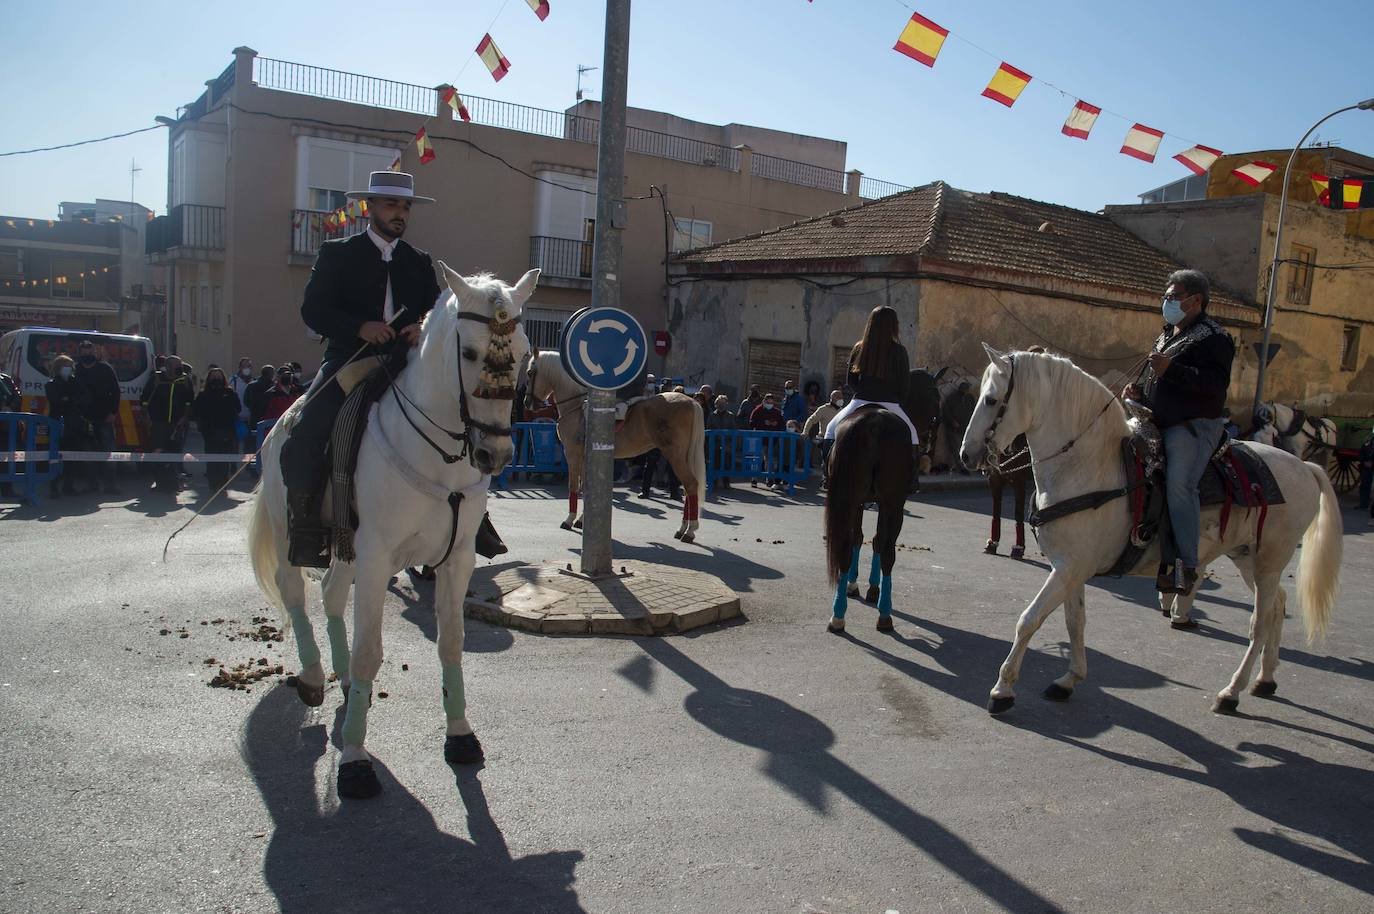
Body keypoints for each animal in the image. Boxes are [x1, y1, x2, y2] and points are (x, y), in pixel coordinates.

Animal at [248, 263, 535, 797]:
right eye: (469, 352)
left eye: (526, 352)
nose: (496, 454)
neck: (437, 454)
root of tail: (280, 422)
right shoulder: (379, 559)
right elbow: (368, 654)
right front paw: (355, 760)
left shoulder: (455, 559)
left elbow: (450, 641)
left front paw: (460, 735)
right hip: (289, 530)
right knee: (294, 591)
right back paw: (314, 676)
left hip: (348, 550)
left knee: (331, 593)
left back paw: (341, 681)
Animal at [516, 350, 703, 541]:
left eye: (530, 373)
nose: (527, 403)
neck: (576, 407)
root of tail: (691, 401)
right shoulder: (585, 457)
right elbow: (586, 488)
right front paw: (582, 520)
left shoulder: (573, 454)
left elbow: (574, 486)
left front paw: (569, 520)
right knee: (688, 488)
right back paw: (683, 529)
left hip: (675, 455)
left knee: (690, 485)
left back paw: (689, 531)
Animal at [824, 404, 912, 626]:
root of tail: (875, 422)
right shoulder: (881, 504)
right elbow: (875, 540)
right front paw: (870, 588)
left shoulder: (863, 502)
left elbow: (863, 538)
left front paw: (858, 585)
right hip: (893, 504)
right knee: (887, 551)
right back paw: (882, 613)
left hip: (853, 500)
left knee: (847, 549)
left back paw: (839, 615)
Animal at [956, 346, 1341, 714]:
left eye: (990, 399)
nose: (966, 455)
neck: (1088, 466)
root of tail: (1305, 467)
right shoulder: (1071, 569)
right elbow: (1075, 622)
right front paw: (1069, 679)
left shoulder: (1068, 569)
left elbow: (1029, 620)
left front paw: (1003, 690)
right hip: (1249, 559)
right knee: (1277, 606)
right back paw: (1265, 678)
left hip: (1268, 562)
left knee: (1259, 622)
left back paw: (1231, 692)